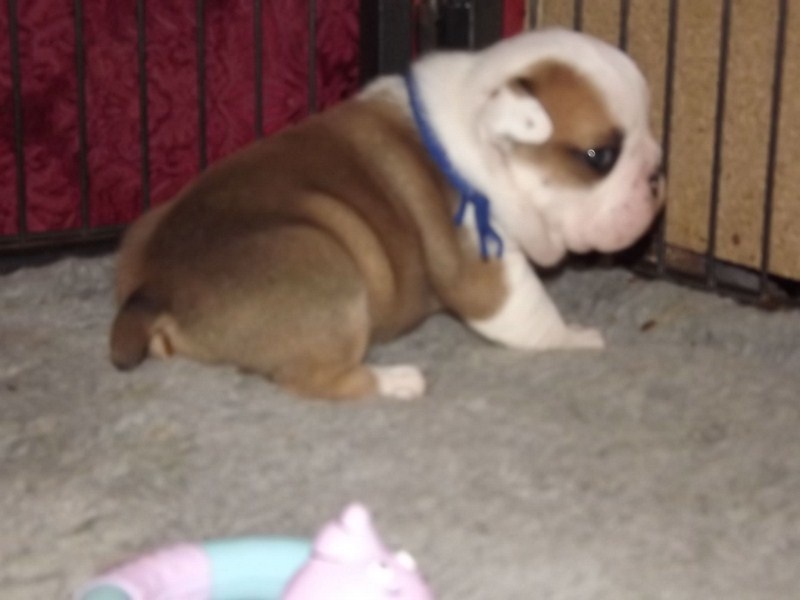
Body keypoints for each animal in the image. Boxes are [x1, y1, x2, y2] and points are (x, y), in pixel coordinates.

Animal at [110, 28, 664, 400]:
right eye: (600, 156)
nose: (658, 172)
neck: (478, 136)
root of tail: (154, 290)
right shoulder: (486, 266)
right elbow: (532, 314)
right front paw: (576, 336)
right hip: (323, 259)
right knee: (316, 378)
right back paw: (397, 379)